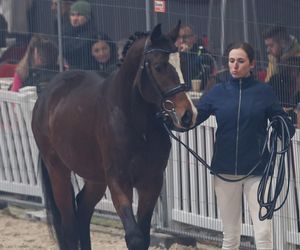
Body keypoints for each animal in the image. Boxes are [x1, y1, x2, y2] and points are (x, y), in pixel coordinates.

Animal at [31, 22, 198, 250]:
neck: (136, 124)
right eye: (158, 67)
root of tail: (46, 94)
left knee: (83, 210)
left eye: (181, 64)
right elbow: (134, 237)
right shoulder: (118, 181)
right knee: (69, 226)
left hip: (95, 177)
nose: (188, 114)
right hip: (58, 171)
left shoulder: (152, 182)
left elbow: (144, 235)